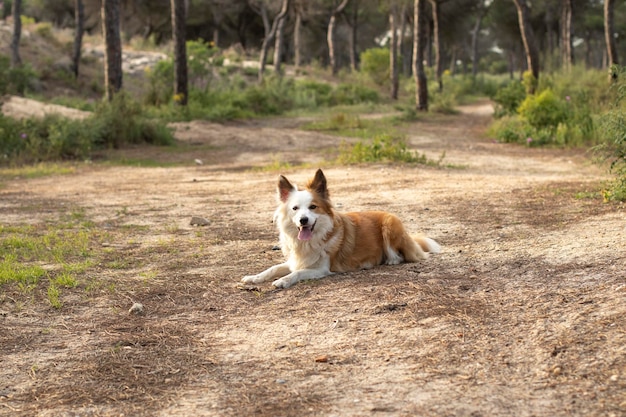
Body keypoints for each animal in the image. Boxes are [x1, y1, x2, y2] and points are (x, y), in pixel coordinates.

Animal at [239, 169, 438, 290]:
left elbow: (298, 273)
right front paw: (253, 278)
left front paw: (282, 281)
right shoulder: (296, 260)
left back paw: (387, 261)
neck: (310, 241)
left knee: (399, 256)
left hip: (390, 224)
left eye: (313, 207)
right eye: (295, 208)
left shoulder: (322, 268)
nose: (303, 220)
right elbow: (272, 268)